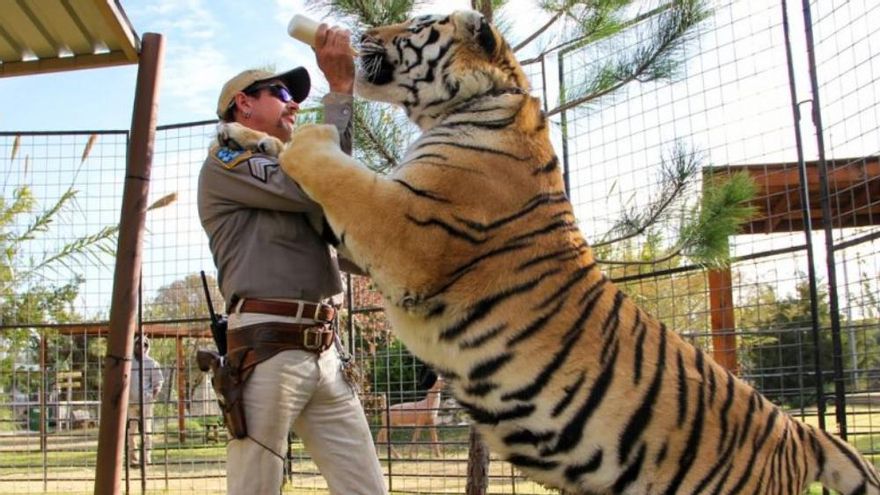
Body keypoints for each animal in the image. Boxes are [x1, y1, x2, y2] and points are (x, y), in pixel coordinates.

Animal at [220, 10, 880, 495]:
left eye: (414, 25)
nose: (361, 34)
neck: (471, 103)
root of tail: (800, 433)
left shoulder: (403, 227)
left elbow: (326, 163)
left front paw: (301, 133)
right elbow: (286, 159)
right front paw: (239, 133)